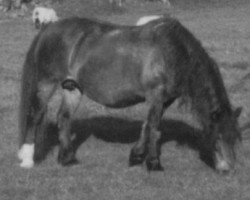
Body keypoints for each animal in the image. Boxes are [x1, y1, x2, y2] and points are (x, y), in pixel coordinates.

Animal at [17, 15, 242, 173]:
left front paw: (136, 156)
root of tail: (48, 28)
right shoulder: (156, 96)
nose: (228, 168)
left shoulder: (164, 100)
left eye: (235, 138)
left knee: (64, 117)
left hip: (72, 87)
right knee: (35, 115)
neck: (171, 52)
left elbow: (148, 126)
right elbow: (153, 128)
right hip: (46, 83)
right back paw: (27, 159)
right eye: (217, 136)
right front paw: (153, 163)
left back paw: (67, 159)